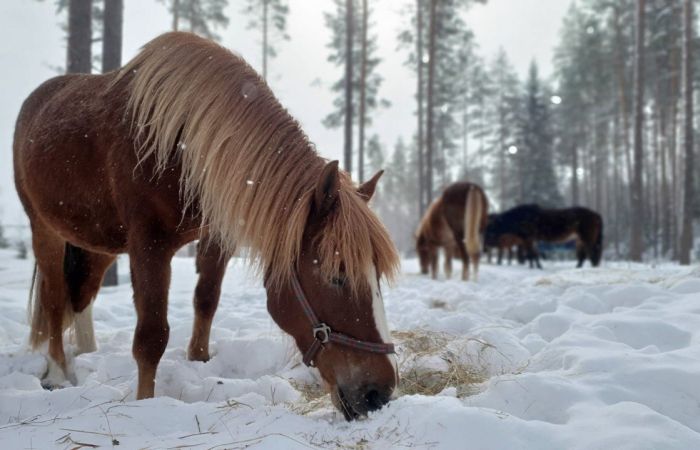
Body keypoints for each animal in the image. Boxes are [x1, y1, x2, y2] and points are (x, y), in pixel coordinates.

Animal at [13, 30, 402, 418]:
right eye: (337, 275)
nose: (379, 393)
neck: (182, 145)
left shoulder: (217, 236)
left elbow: (206, 300)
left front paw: (198, 361)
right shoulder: (148, 244)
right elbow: (151, 335)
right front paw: (145, 404)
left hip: (97, 241)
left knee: (82, 294)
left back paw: (87, 352)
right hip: (45, 230)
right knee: (54, 298)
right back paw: (58, 373)